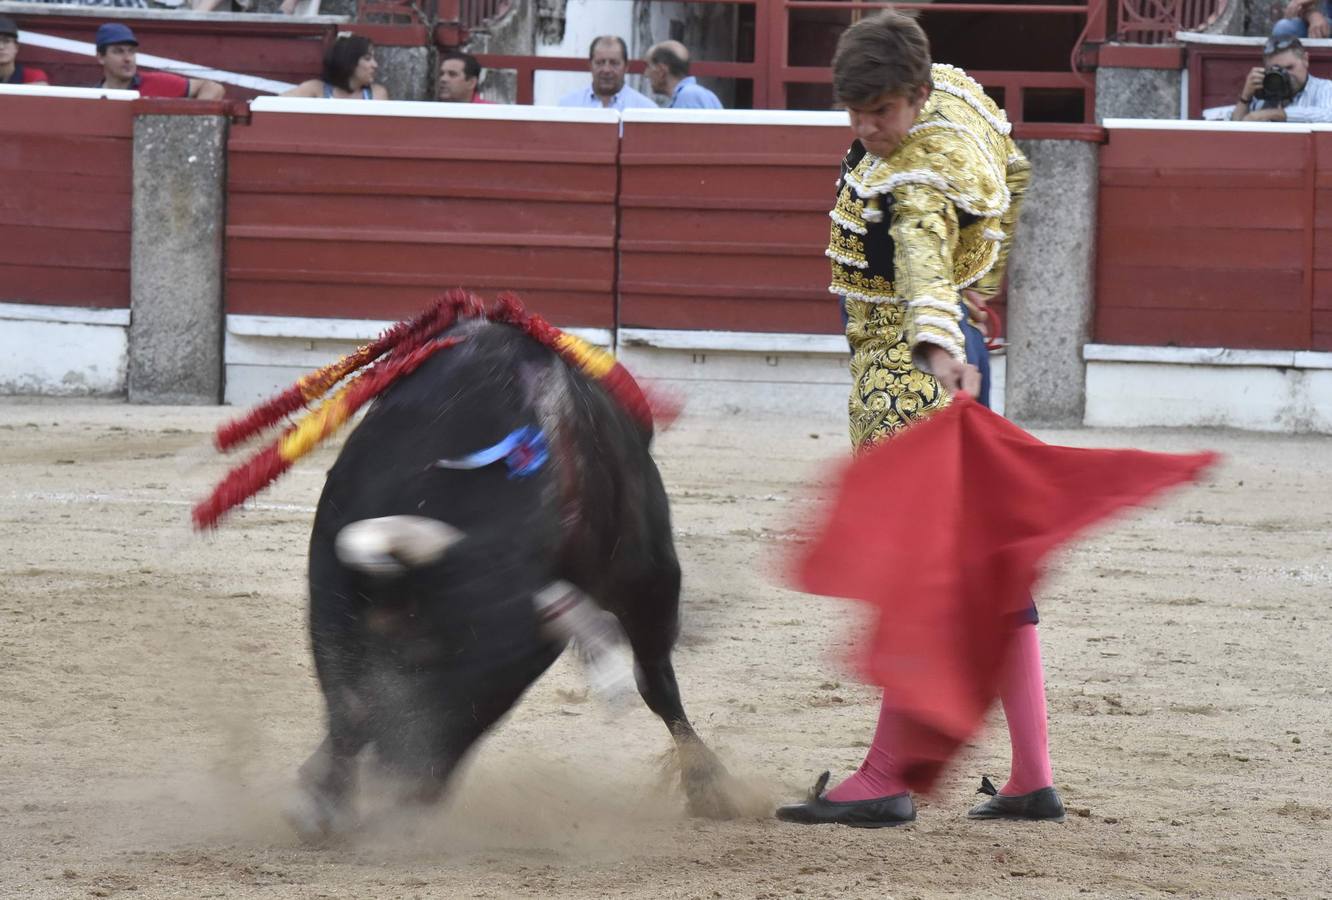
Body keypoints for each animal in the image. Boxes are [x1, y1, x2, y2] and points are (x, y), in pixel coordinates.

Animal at [286, 318, 735, 836]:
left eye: (493, 687)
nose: (404, 783)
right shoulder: (332, 596)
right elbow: (349, 702)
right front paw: (320, 798)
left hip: (649, 574)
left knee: (656, 677)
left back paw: (709, 784)